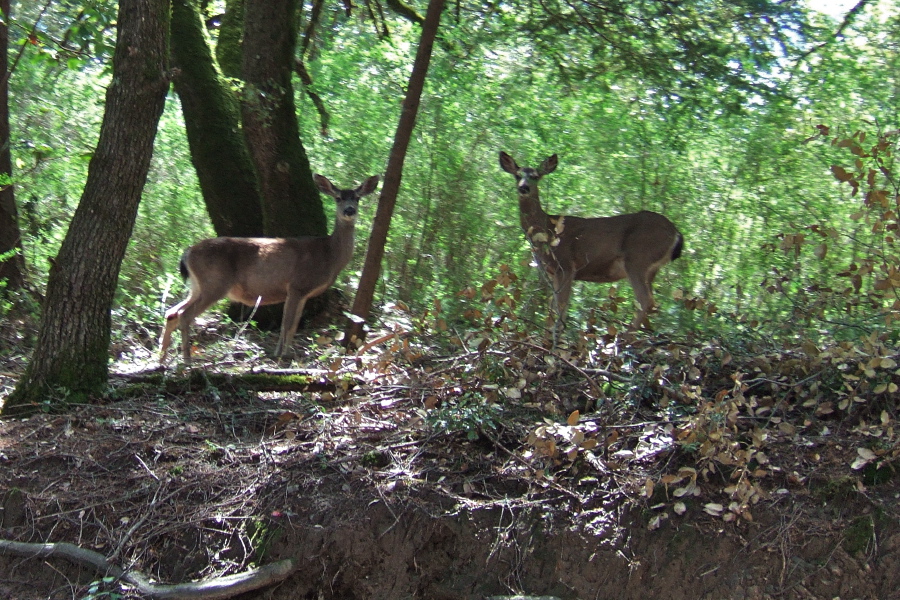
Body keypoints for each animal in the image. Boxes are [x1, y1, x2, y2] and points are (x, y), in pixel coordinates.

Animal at [160, 171, 378, 364]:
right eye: (338, 198)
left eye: (357, 198)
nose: (349, 210)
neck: (329, 254)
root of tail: (187, 252)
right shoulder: (297, 285)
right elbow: (286, 324)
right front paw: (280, 354)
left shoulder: (303, 292)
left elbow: (294, 324)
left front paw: (286, 353)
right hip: (215, 282)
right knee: (184, 315)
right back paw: (187, 361)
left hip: (198, 286)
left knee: (172, 312)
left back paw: (161, 359)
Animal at [500, 150, 684, 336]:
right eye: (517, 175)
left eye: (535, 176)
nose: (523, 188)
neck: (547, 231)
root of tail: (676, 232)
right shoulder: (552, 273)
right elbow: (551, 311)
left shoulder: (566, 266)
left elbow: (561, 308)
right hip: (651, 269)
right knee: (651, 303)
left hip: (638, 258)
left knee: (645, 300)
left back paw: (624, 339)